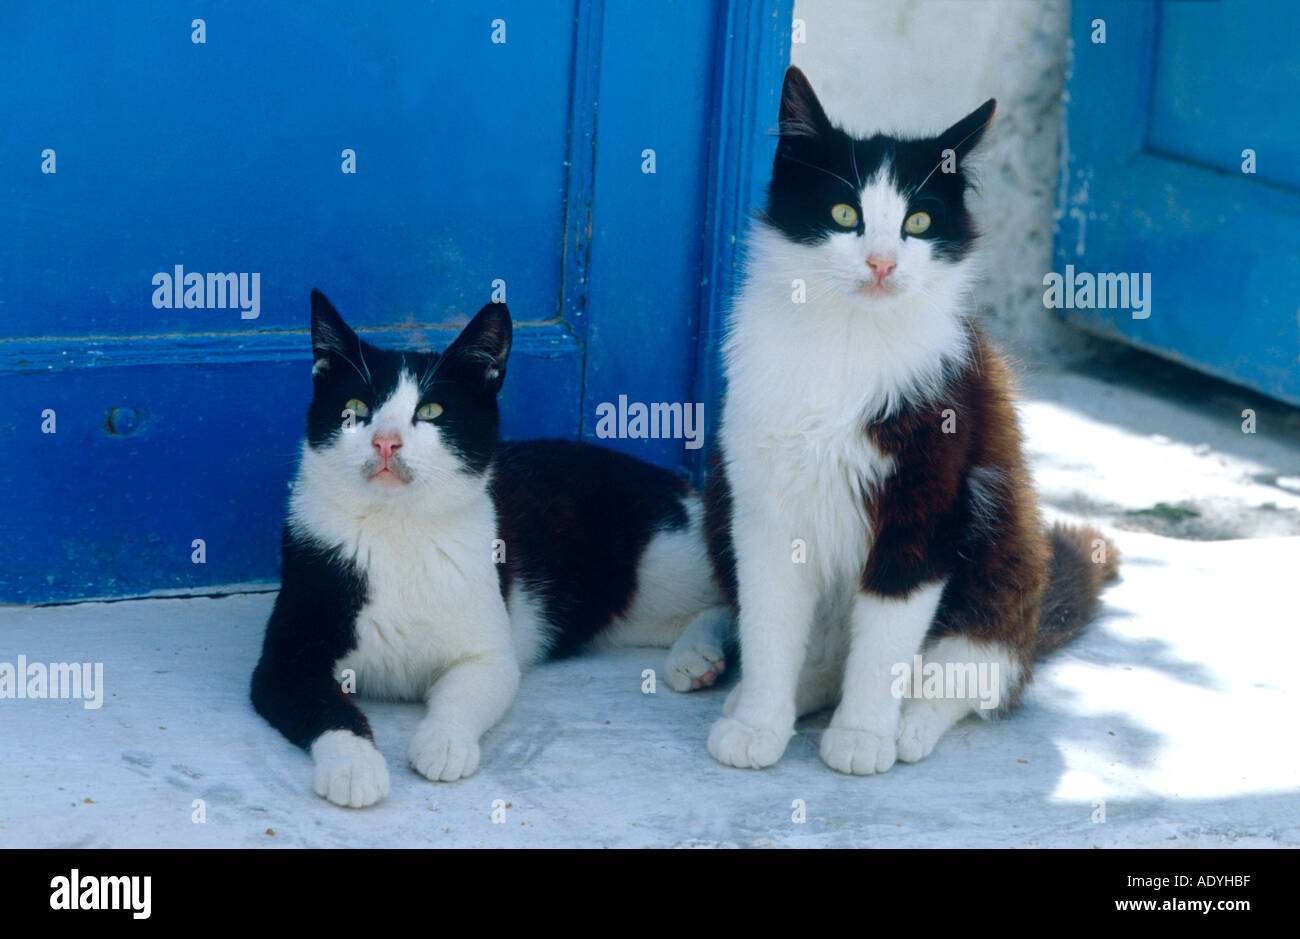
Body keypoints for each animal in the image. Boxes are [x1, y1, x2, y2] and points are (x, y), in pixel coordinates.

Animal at [246, 292, 728, 806]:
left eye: (432, 411)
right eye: (356, 406)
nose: (385, 441)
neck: (398, 527)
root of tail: (681, 486)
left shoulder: (489, 654)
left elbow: (465, 693)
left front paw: (444, 742)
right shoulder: (285, 662)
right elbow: (329, 710)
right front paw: (354, 767)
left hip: (664, 556)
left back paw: (700, 653)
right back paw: (699, 658)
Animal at [702, 67, 1118, 775]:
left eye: (918, 223)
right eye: (845, 215)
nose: (881, 264)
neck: (848, 338)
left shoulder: (929, 504)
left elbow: (886, 642)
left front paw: (863, 735)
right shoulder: (762, 507)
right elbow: (769, 625)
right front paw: (759, 720)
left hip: (1006, 552)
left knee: (977, 670)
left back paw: (911, 725)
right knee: (823, 659)